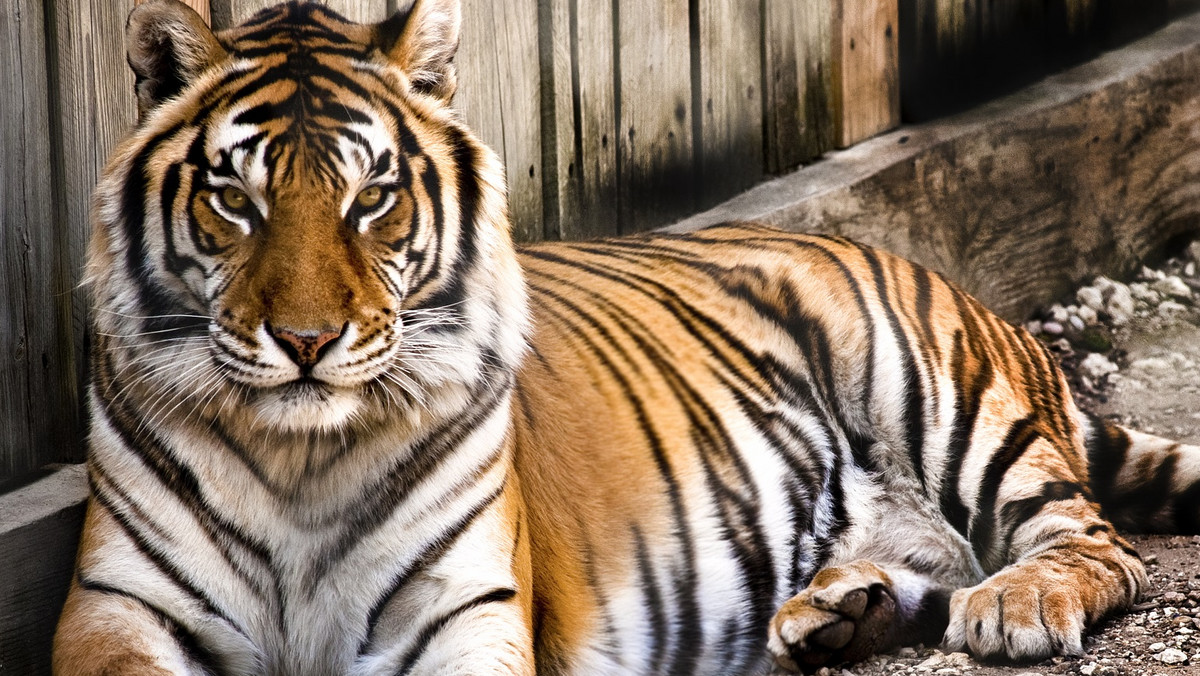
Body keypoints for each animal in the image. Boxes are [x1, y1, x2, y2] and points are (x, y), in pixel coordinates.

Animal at [54, 0, 1200, 672]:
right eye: (234, 200)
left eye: (371, 196)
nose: (305, 341)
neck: (299, 460)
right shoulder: (117, 608)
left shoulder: (463, 608)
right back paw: (840, 611)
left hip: (946, 401)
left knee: (1094, 542)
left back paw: (1012, 607)